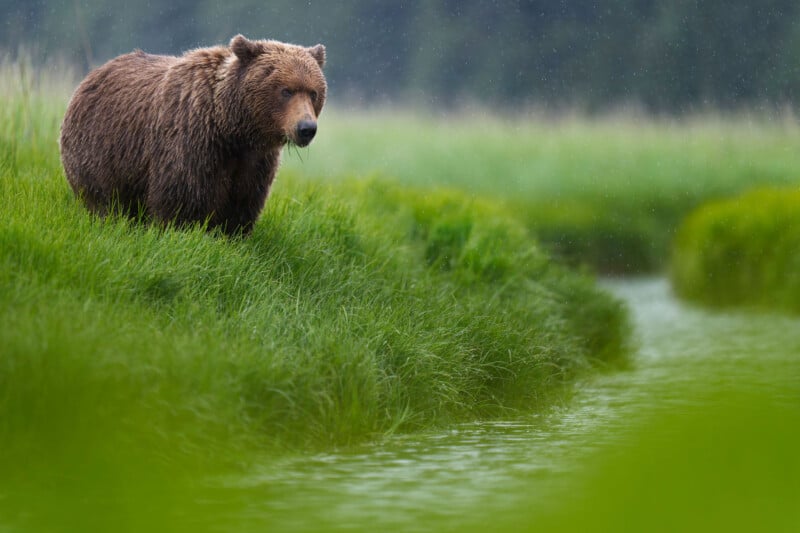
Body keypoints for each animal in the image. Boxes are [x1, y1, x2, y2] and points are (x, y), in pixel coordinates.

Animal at [59, 34, 327, 235]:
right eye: (286, 90)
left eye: (313, 92)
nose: (306, 128)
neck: (231, 128)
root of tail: (92, 75)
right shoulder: (192, 143)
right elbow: (183, 197)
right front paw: (183, 230)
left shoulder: (255, 160)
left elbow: (243, 202)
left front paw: (231, 235)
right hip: (101, 151)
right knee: (104, 199)